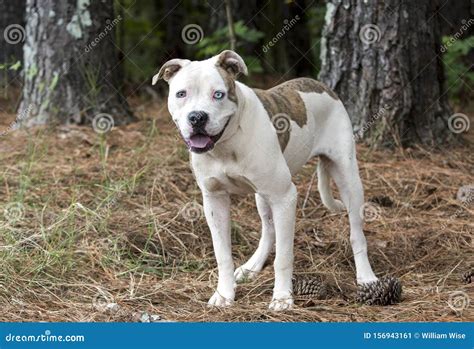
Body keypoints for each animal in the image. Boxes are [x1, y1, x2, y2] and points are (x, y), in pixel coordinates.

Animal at [152, 49, 400, 310]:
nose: (197, 117)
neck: (228, 143)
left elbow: (283, 257)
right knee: (269, 231)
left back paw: (367, 278)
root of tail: (321, 85)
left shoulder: (284, 197)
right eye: (181, 94)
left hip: (348, 178)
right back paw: (251, 267)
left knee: (356, 233)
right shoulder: (214, 199)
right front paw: (224, 294)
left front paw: (282, 298)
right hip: (263, 196)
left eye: (218, 94)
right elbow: (223, 254)